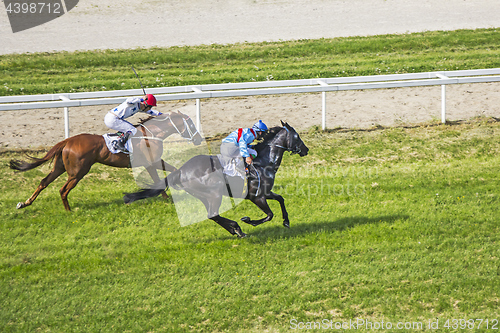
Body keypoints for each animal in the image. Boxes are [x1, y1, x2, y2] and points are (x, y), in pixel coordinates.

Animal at [9, 111, 202, 210]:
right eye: (191, 125)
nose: (199, 139)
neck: (151, 134)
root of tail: (67, 141)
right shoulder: (150, 162)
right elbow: (158, 180)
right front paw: (167, 198)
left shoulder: (154, 161)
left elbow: (172, 170)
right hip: (78, 172)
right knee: (62, 190)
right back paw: (69, 210)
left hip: (60, 167)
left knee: (44, 182)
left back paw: (24, 203)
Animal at [123, 121, 306, 236]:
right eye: (297, 136)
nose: (306, 150)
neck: (263, 162)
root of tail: (181, 171)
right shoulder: (257, 196)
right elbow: (269, 215)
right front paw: (248, 220)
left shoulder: (266, 193)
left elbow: (281, 199)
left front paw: (286, 221)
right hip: (214, 194)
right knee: (213, 214)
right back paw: (237, 228)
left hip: (204, 195)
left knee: (213, 215)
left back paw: (236, 230)